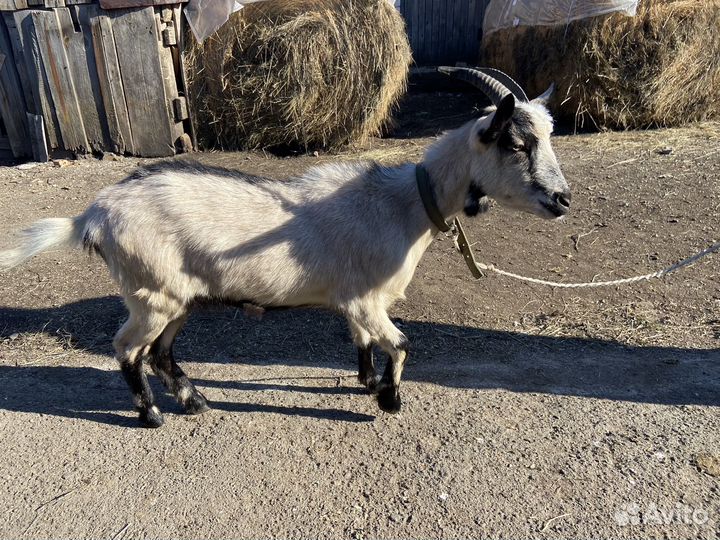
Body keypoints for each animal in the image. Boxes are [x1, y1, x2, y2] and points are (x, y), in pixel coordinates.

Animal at [0, 68, 570, 427]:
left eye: (548, 136)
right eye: (516, 142)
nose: (563, 199)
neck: (405, 204)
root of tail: (93, 215)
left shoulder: (357, 300)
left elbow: (364, 340)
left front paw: (367, 383)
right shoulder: (366, 298)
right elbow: (401, 343)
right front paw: (390, 400)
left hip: (176, 297)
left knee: (160, 352)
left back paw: (194, 400)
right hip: (150, 294)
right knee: (126, 350)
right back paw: (152, 415)